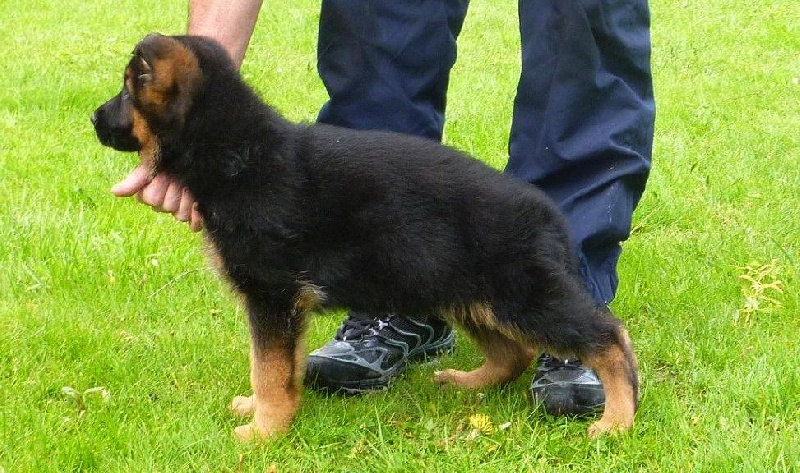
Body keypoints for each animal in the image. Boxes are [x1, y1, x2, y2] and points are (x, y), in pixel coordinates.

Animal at [92, 35, 636, 440]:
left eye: (127, 91)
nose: (94, 119)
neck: (238, 150)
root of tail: (550, 214)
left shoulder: (272, 295)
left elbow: (267, 368)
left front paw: (263, 432)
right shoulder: (286, 305)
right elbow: (283, 368)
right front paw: (271, 415)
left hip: (521, 297)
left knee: (609, 337)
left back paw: (617, 419)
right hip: (466, 293)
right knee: (514, 353)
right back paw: (469, 383)